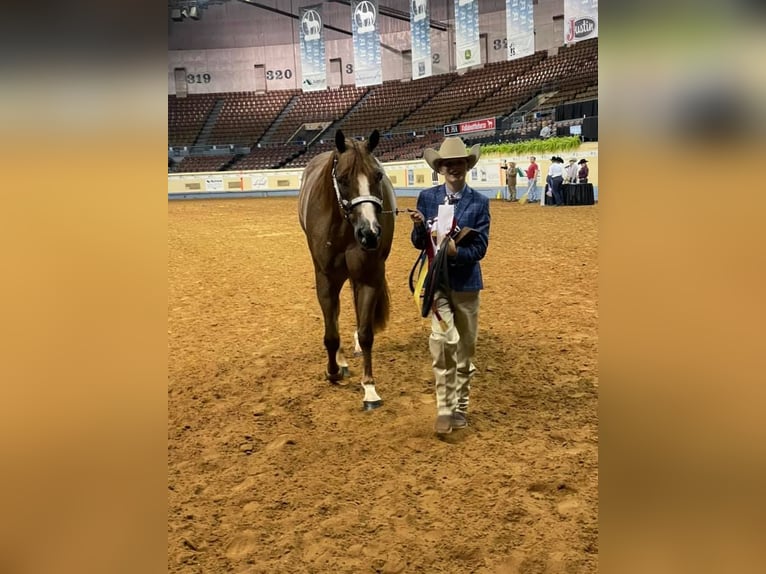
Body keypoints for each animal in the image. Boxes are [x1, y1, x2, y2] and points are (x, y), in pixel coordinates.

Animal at [298, 129, 396, 410]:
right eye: (341, 179)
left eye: (378, 176)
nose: (370, 233)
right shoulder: (325, 279)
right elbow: (331, 332)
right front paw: (332, 371)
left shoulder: (370, 276)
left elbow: (366, 333)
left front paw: (369, 388)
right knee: (336, 315)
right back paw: (340, 362)